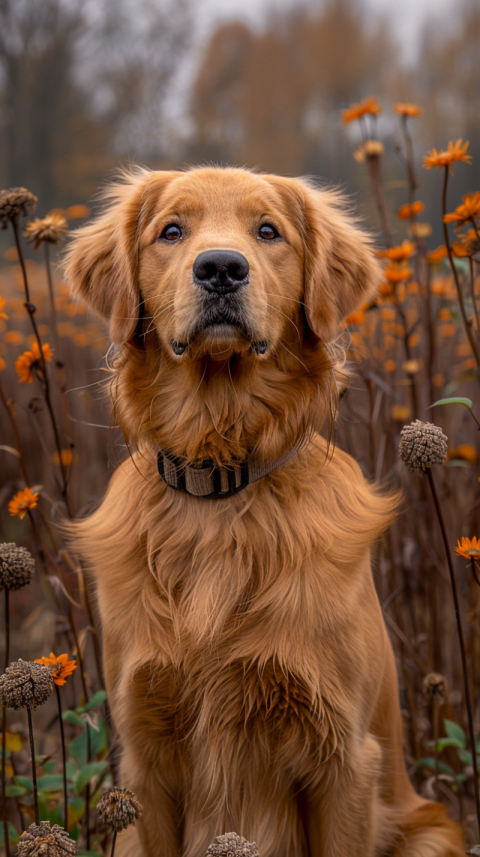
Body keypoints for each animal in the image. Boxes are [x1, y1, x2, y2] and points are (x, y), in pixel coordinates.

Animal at [64, 164, 464, 852]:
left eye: (269, 232)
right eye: (171, 231)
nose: (221, 268)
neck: (221, 477)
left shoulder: (342, 759)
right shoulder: (146, 763)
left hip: (431, 831)